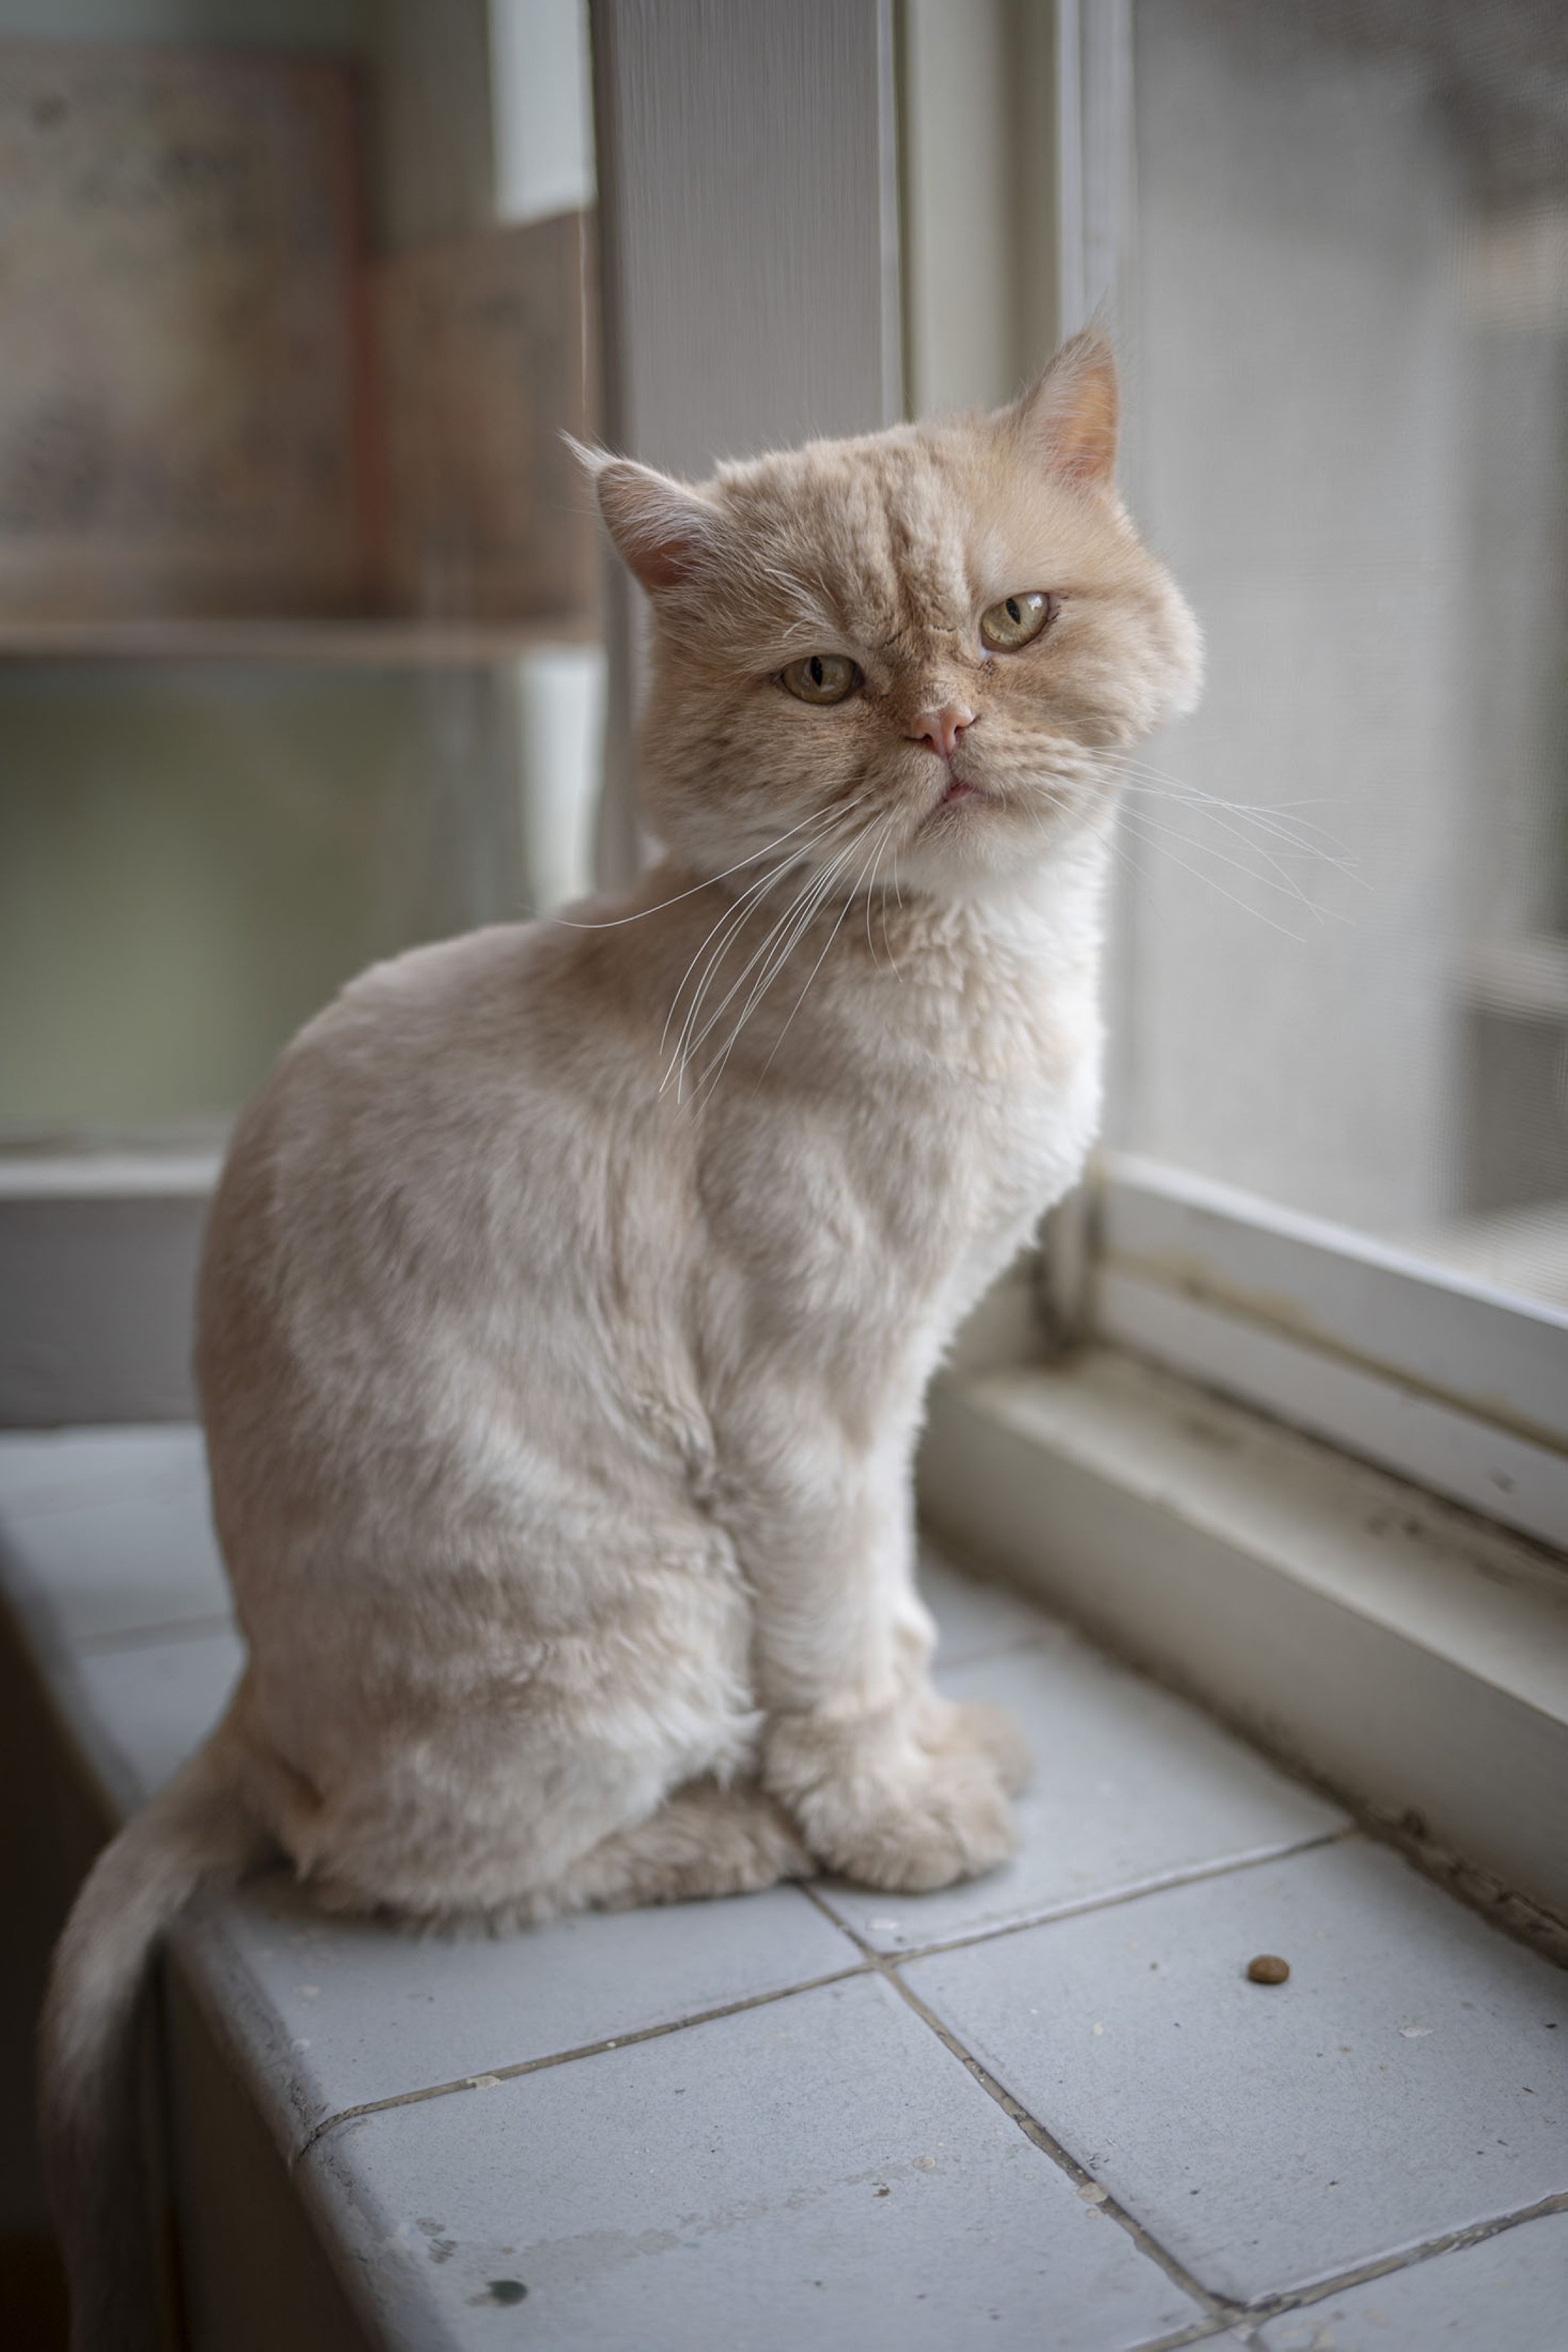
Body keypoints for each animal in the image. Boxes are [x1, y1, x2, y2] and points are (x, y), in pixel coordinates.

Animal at [40, 336, 1203, 2352]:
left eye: (1013, 621)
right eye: (825, 678)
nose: (943, 728)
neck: (970, 951)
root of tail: (243, 1704)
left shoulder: (899, 1385)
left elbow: (897, 1607)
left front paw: (943, 1729)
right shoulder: (805, 1405)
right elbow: (837, 1655)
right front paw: (893, 1814)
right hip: (637, 1635)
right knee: (408, 1867)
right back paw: (727, 1831)